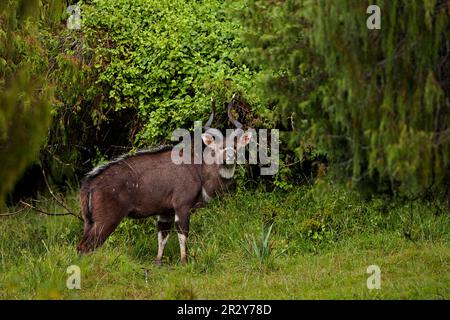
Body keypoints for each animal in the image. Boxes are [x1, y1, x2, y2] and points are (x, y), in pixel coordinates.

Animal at [78, 96, 253, 266]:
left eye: (236, 147)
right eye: (218, 148)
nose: (230, 157)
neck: (199, 171)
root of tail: (89, 185)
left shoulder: (165, 212)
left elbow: (162, 237)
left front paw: (158, 263)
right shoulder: (182, 206)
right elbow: (183, 234)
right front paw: (184, 263)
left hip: (89, 221)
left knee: (80, 245)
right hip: (106, 221)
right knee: (87, 247)